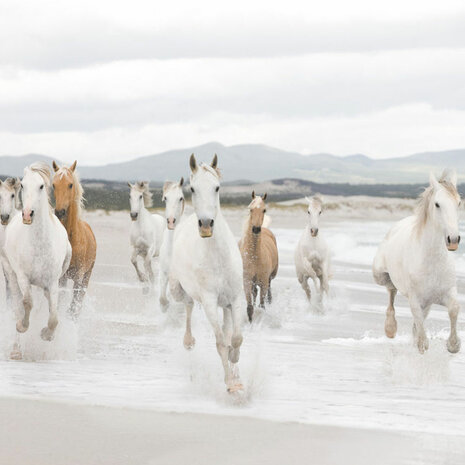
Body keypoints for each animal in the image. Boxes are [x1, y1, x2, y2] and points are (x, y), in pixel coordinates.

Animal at [4, 162, 71, 340]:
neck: (39, 245)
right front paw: (21, 326)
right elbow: (27, 302)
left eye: (41, 186)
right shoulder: (23, 277)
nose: (27, 214)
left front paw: (47, 334)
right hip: (11, 273)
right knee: (16, 299)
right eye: (22, 185)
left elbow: (54, 317)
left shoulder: (53, 282)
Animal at [51, 160, 96, 316]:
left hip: (86, 276)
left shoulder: (78, 277)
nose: (59, 212)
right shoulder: (61, 277)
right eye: (53, 185)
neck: (72, 239)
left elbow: (73, 307)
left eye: (70, 184)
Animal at [169, 153, 243, 392]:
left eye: (217, 187)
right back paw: (188, 341)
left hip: (226, 304)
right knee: (189, 304)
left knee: (228, 329)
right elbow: (220, 343)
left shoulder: (235, 298)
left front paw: (236, 372)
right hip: (178, 290)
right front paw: (230, 384)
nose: (206, 225)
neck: (218, 257)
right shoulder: (210, 301)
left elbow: (235, 338)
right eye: (192, 189)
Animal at [237, 190, 278, 320]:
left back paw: (270, 300)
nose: (255, 229)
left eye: (264, 210)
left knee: (269, 287)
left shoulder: (263, 282)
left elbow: (262, 306)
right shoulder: (247, 281)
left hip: (270, 277)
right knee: (254, 292)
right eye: (250, 209)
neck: (254, 257)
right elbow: (249, 308)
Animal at [374, 170, 460, 352]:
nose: (454, 240)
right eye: (437, 204)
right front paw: (422, 344)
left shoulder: (447, 293)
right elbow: (417, 319)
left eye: (458, 203)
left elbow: (454, 309)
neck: (432, 261)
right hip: (379, 275)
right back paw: (390, 328)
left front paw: (453, 345)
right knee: (391, 290)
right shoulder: (415, 298)